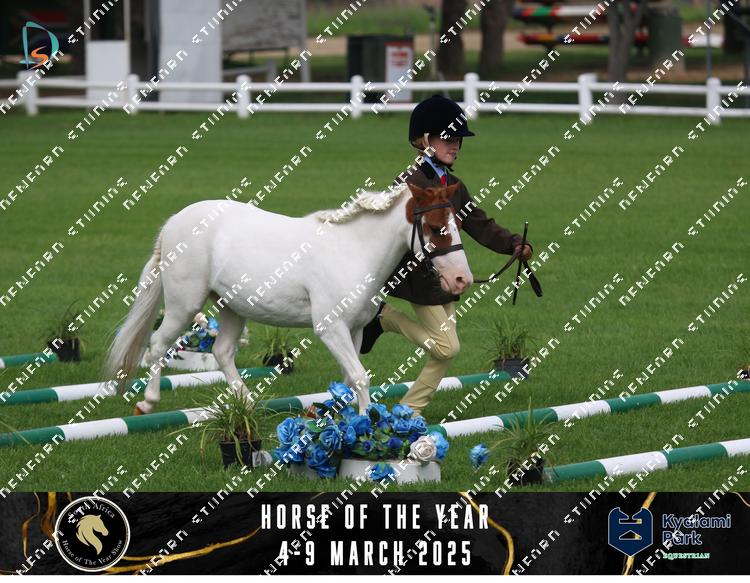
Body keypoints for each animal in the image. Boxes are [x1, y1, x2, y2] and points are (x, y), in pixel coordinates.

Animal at [104, 181, 473, 415]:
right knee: (157, 345)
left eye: (457, 223)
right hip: (185, 305)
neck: (352, 250)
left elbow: (349, 379)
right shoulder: (331, 328)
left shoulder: (354, 330)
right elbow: (359, 377)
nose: (462, 279)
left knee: (222, 352)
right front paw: (366, 424)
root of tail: (173, 223)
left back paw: (248, 405)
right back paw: (148, 402)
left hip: (232, 307)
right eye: (436, 227)